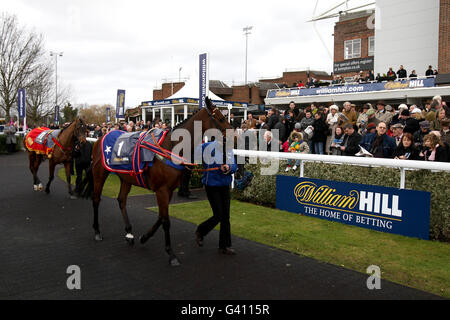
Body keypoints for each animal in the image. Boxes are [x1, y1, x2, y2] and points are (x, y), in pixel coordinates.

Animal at [83, 97, 234, 264]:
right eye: (221, 118)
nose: (235, 136)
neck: (171, 147)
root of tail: (99, 138)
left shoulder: (169, 190)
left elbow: (161, 217)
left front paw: (144, 237)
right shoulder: (161, 190)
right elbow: (166, 221)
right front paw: (171, 254)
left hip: (126, 177)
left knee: (121, 200)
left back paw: (129, 233)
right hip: (100, 173)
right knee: (96, 199)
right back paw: (97, 231)